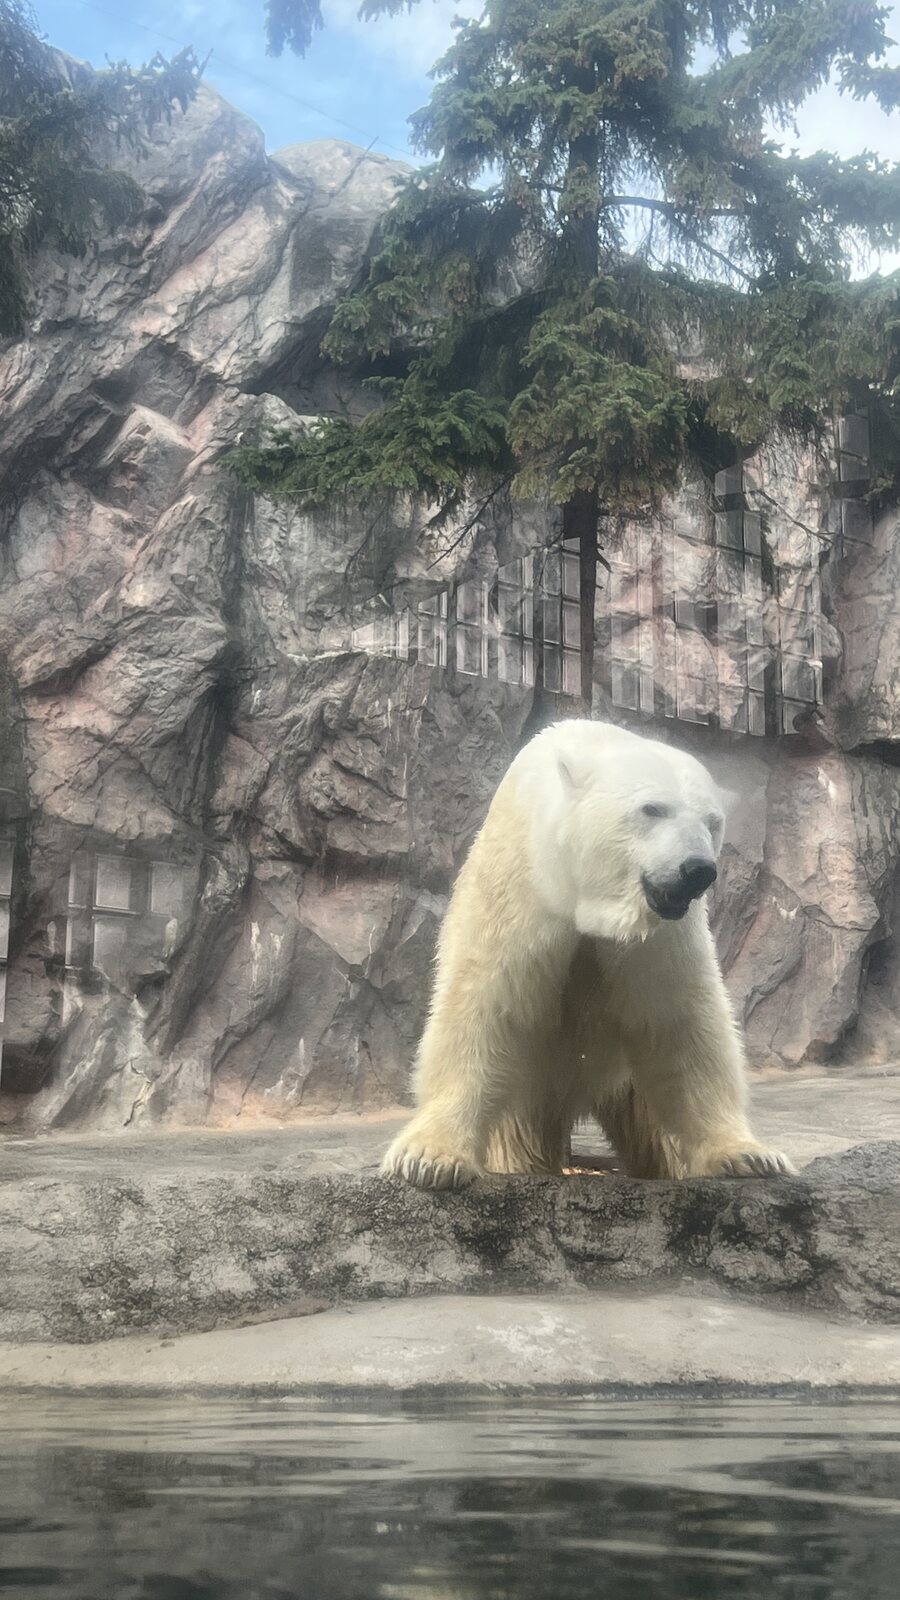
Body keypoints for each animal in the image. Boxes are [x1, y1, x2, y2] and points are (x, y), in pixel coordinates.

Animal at [382, 718, 794, 1189]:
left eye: (713, 821)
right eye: (652, 809)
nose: (697, 870)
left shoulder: (657, 939)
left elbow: (681, 1022)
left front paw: (747, 1155)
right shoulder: (521, 885)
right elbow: (484, 1002)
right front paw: (428, 1158)